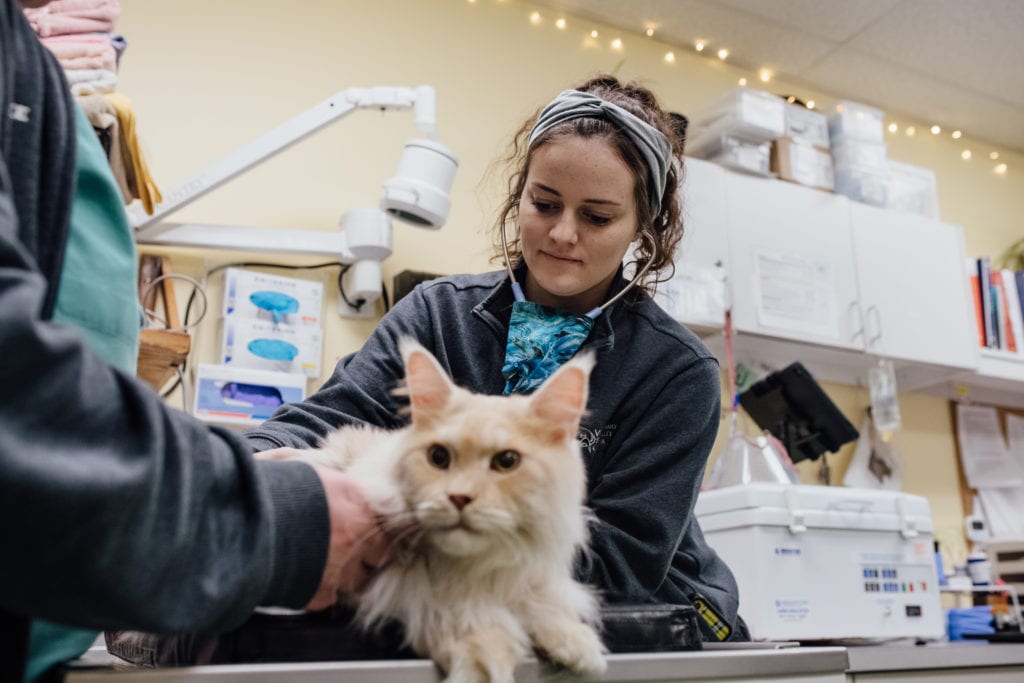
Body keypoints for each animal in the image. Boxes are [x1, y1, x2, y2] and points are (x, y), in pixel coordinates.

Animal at [296, 342, 602, 683]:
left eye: (507, 461)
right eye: (438, 457)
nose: (459, 497)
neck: (474, 569)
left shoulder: (526, 572)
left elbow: (542, 600)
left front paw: (575, 642)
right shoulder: (391, 584)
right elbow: (446, 611)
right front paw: (484, 658)